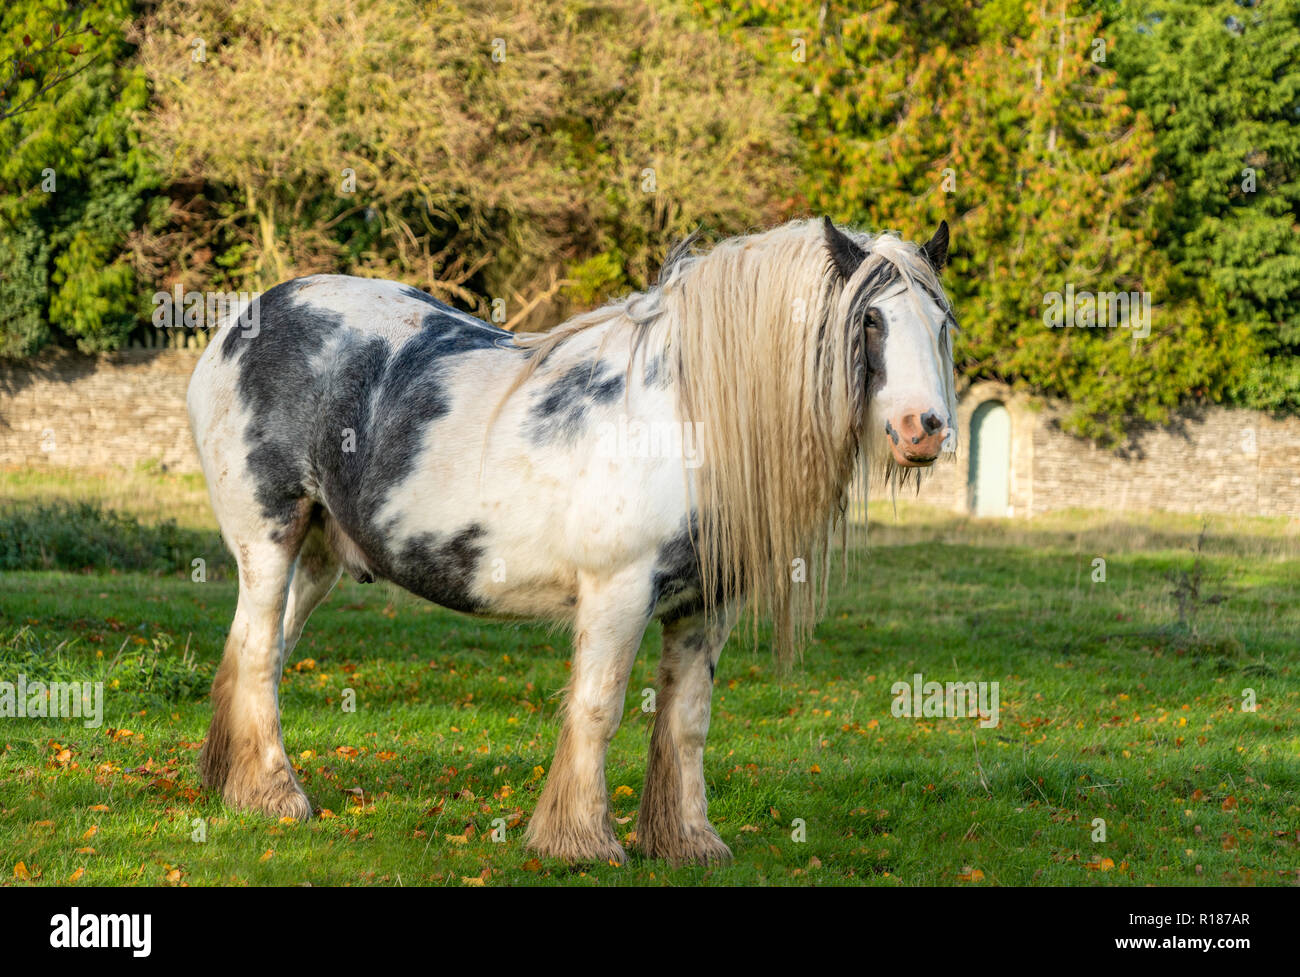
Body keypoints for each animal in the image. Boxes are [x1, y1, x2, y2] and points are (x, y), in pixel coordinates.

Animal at [185, 216, 959, 866]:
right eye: (869, 319)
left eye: (943, 324)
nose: (926, 428)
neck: (683, 415)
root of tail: (239, 327)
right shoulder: (619, 593)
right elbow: (598, 707)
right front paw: (581, 841)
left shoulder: (705, 607)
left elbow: (687, 720)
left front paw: (688, 841)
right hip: (269, 541)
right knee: (258, 655)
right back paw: (277, 798)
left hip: (318, 558)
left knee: (260, 655)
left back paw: (235, 788)